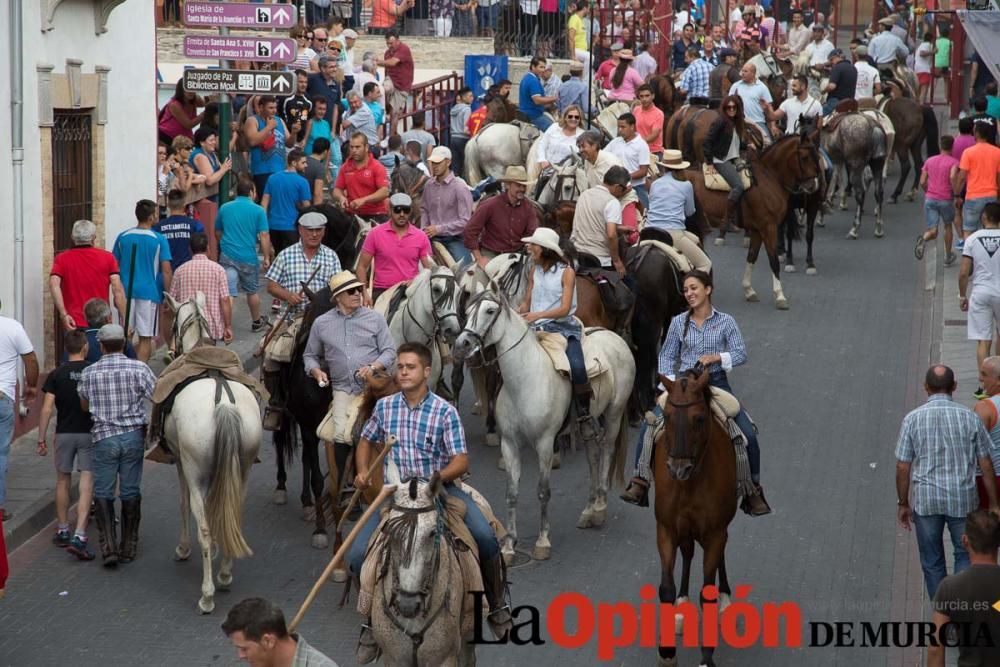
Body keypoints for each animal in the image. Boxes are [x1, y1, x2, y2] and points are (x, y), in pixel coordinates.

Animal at [161, 294, 262, 616]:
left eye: (172, 322)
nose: (171, 349)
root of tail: (224, 405)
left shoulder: (182, 464)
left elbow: (184, 505)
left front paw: (183, 548)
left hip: (195, 470)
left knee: (203, 526)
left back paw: (207, 595)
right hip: (242, 467)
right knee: (234, 512)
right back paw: (226, 573)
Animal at [454, 290, 632, 568]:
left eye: (490, 311)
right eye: (469, 308)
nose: (462, 344)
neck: (524, 380)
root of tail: (616, 337)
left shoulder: (545, 443)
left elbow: (543, 492)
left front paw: (542, 542)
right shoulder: (509, 443)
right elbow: (511, 493)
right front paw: (509, 546)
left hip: (614, 415)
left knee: (607, 453)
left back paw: (600, 508)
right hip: (587, 423)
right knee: (593, 457)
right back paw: (589, 511)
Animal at [652, 366, 740, 667]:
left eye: (699, 418)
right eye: (667, 416)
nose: (678, 469)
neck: (690, 483)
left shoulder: (714, 531)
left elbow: (707, 592)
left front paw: (706, 657)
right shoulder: (666, 528)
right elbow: (665, 588)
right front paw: (667, 652)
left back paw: (725, 597)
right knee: (688, 551)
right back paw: (682, 605)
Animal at [688, 134, 820, 310]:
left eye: (816, 156)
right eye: (805, 157)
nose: (813, 186)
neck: (768, 179)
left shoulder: (758, 230)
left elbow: (752, 257)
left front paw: (749, 290)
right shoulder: (768, 227)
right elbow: (774, 261)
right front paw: (780, 296)